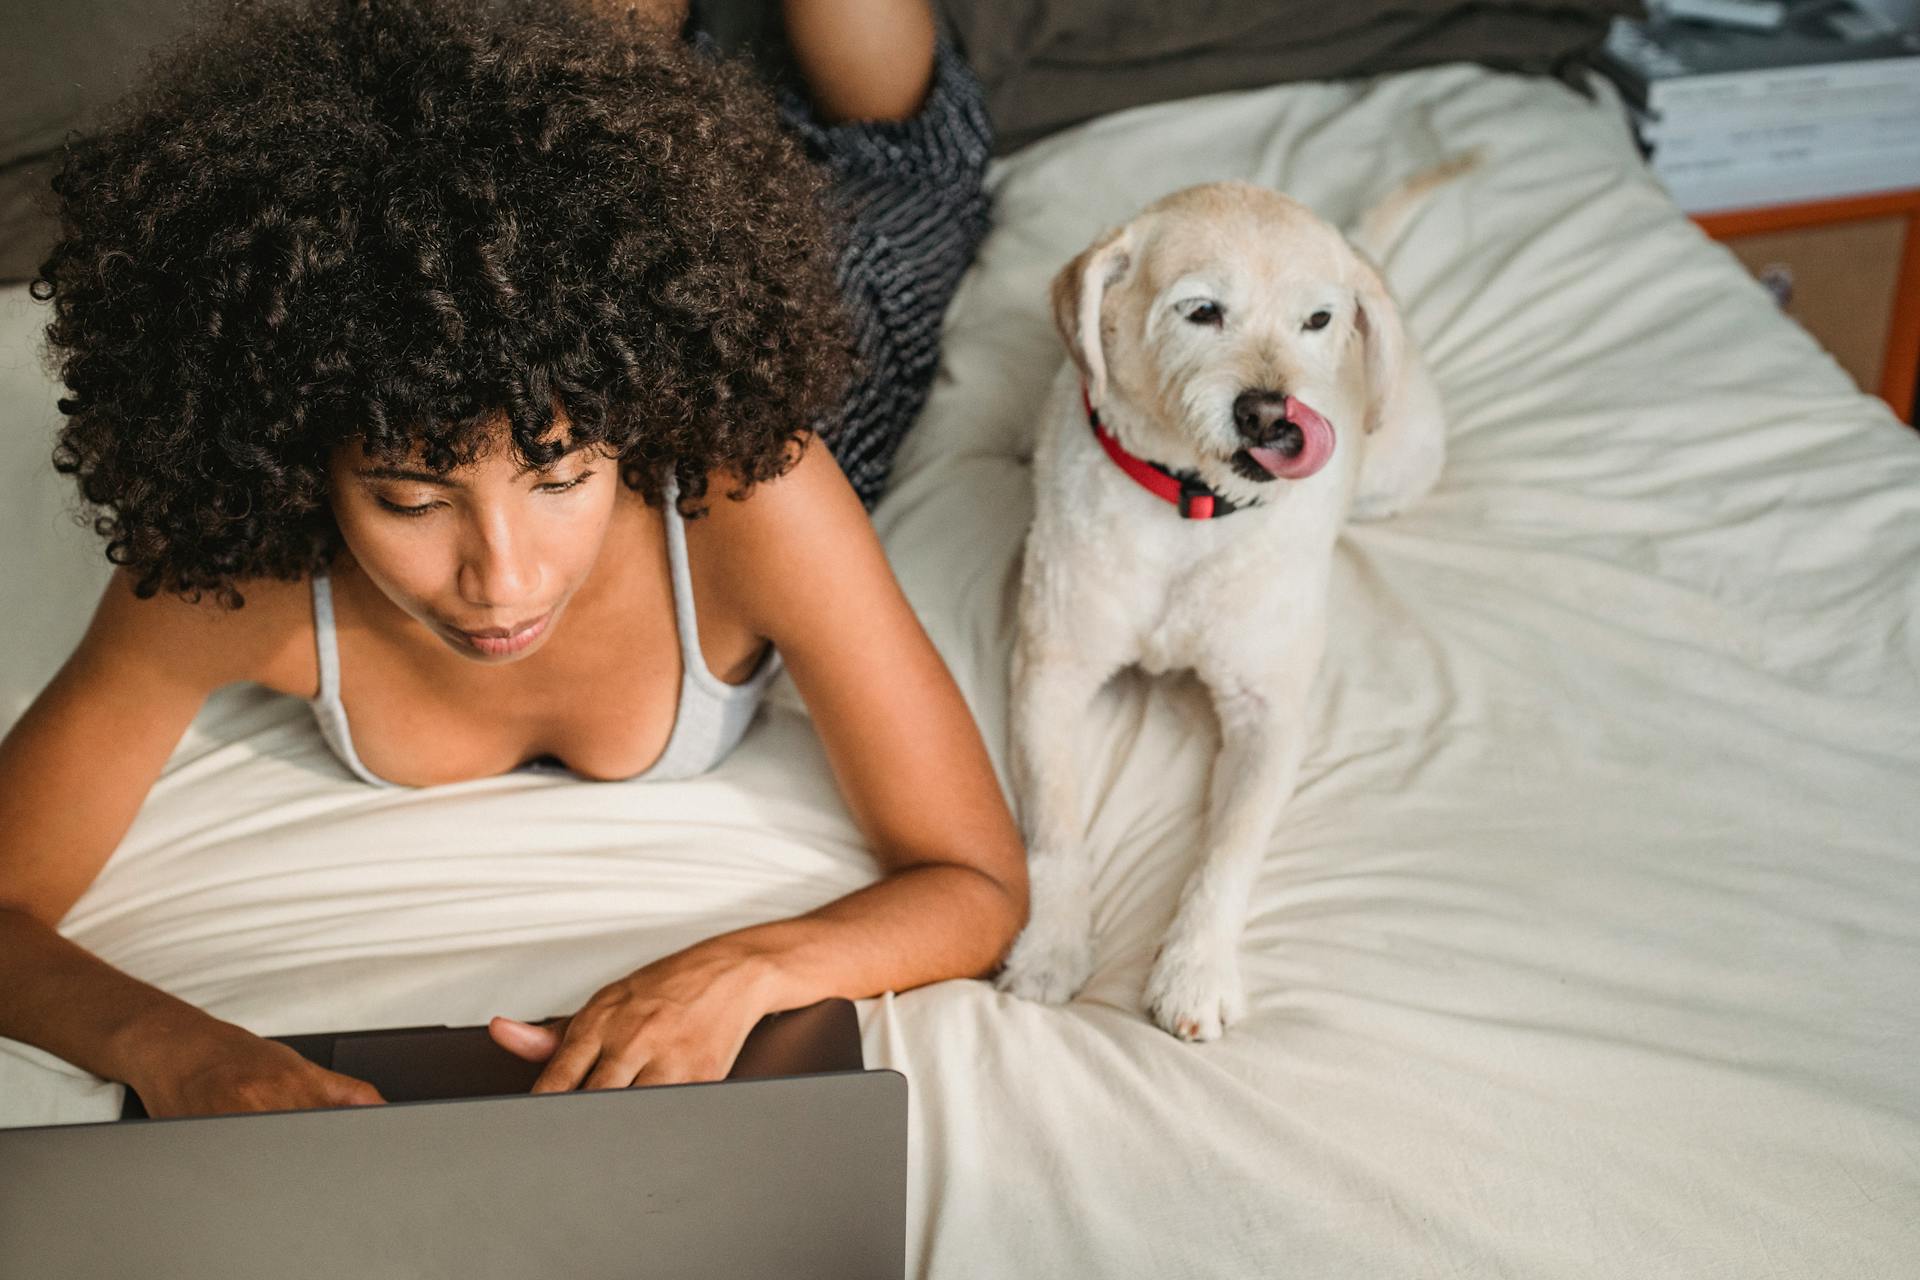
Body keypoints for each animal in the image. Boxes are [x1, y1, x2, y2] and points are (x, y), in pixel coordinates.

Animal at [998, 167, 1459, 1043]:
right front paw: (1052, 946)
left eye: (1318, 320)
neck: (1191, 508)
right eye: (1202, 310)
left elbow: (1227, 853)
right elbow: (1055, 832)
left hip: (1402, 466)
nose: (1272, 416)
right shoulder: (1048, 679)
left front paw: (1195, 971)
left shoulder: (1267, 718)